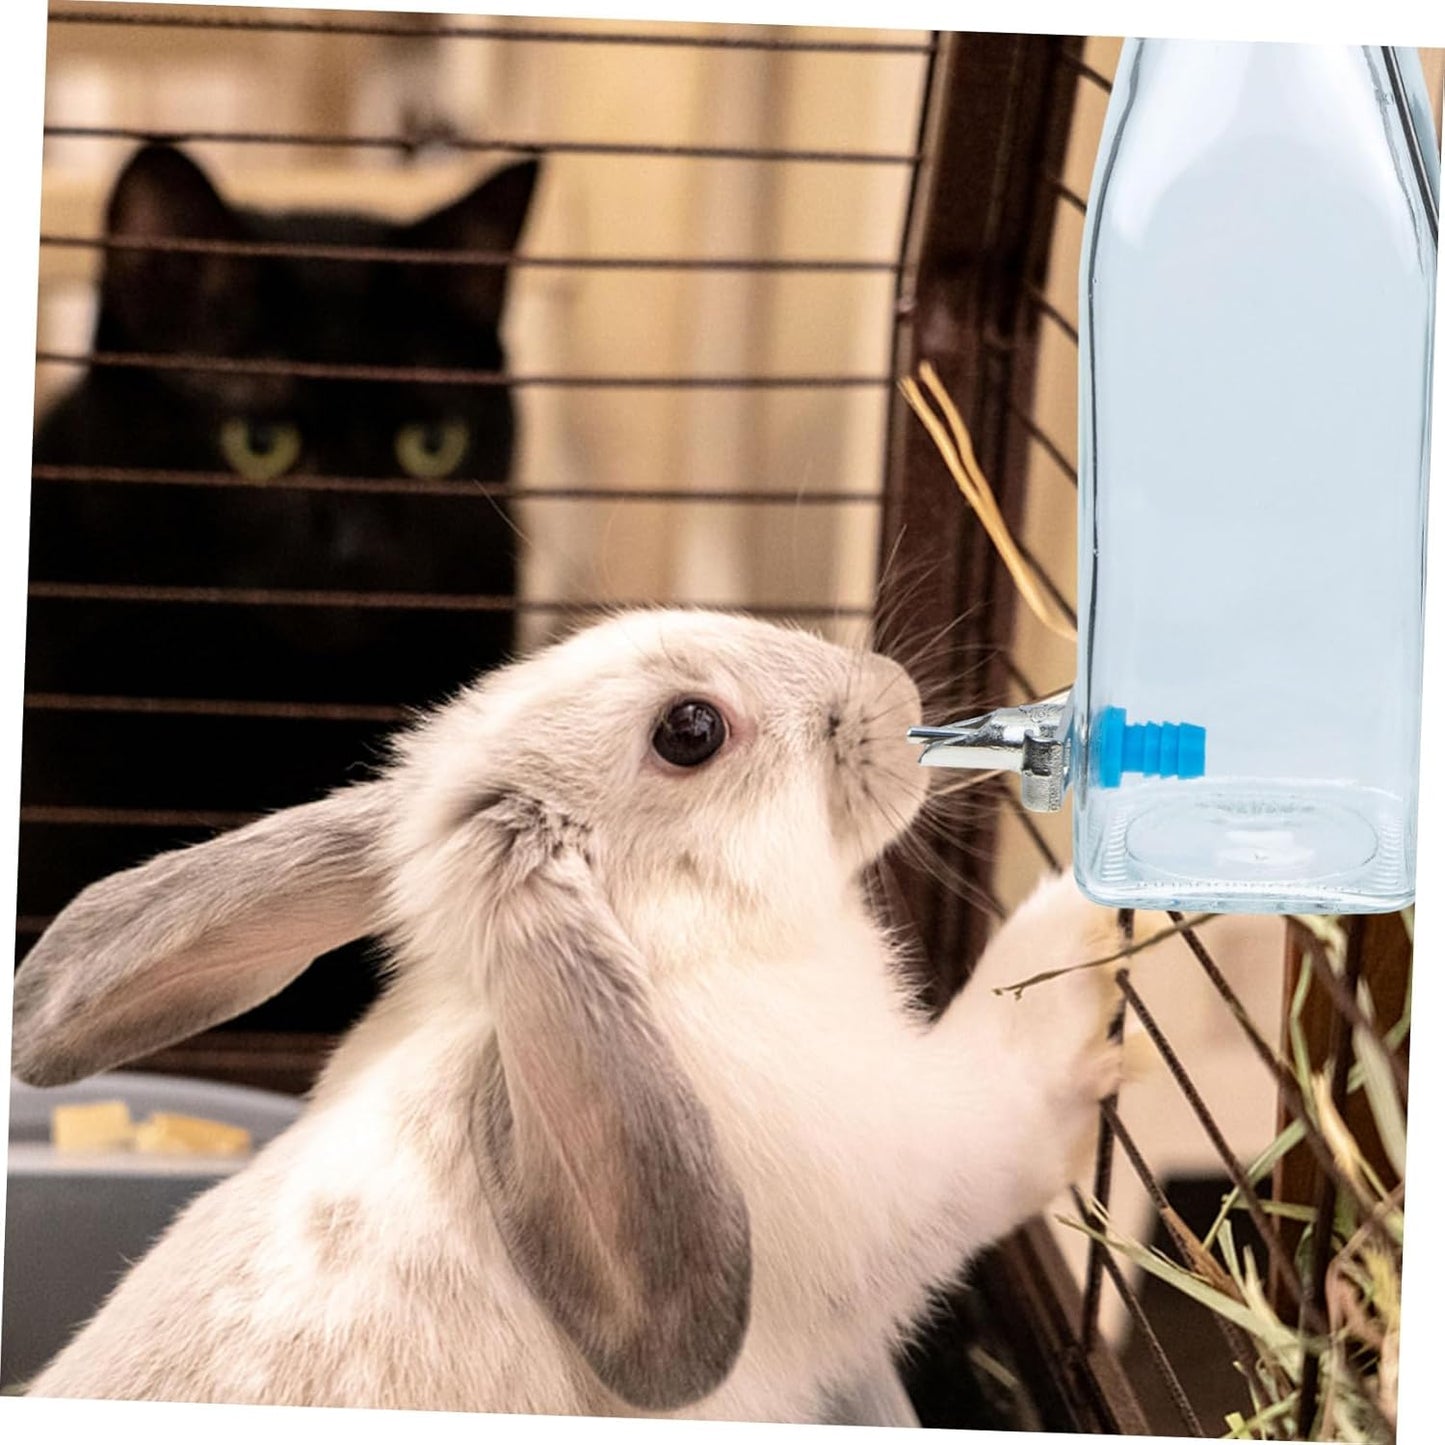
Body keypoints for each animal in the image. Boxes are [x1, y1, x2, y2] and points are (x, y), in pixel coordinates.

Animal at [10, 607, 1126, 1420]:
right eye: (689, 730)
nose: (893, 688)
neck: (672, 951)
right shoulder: (925, 1167)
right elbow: (1009, 1078)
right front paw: (1079, 919)